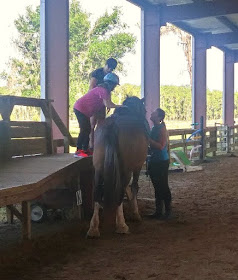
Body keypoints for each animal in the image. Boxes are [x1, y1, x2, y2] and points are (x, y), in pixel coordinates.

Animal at [86, 97, 149, 238]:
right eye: (145, 110)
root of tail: (113, 125)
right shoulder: (136, 167)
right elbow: (134, 187)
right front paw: (135, 213)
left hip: (98, 169)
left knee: (97, 192)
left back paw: (93, 228)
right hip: (126, 170)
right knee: (120, 191)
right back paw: (121, 225)